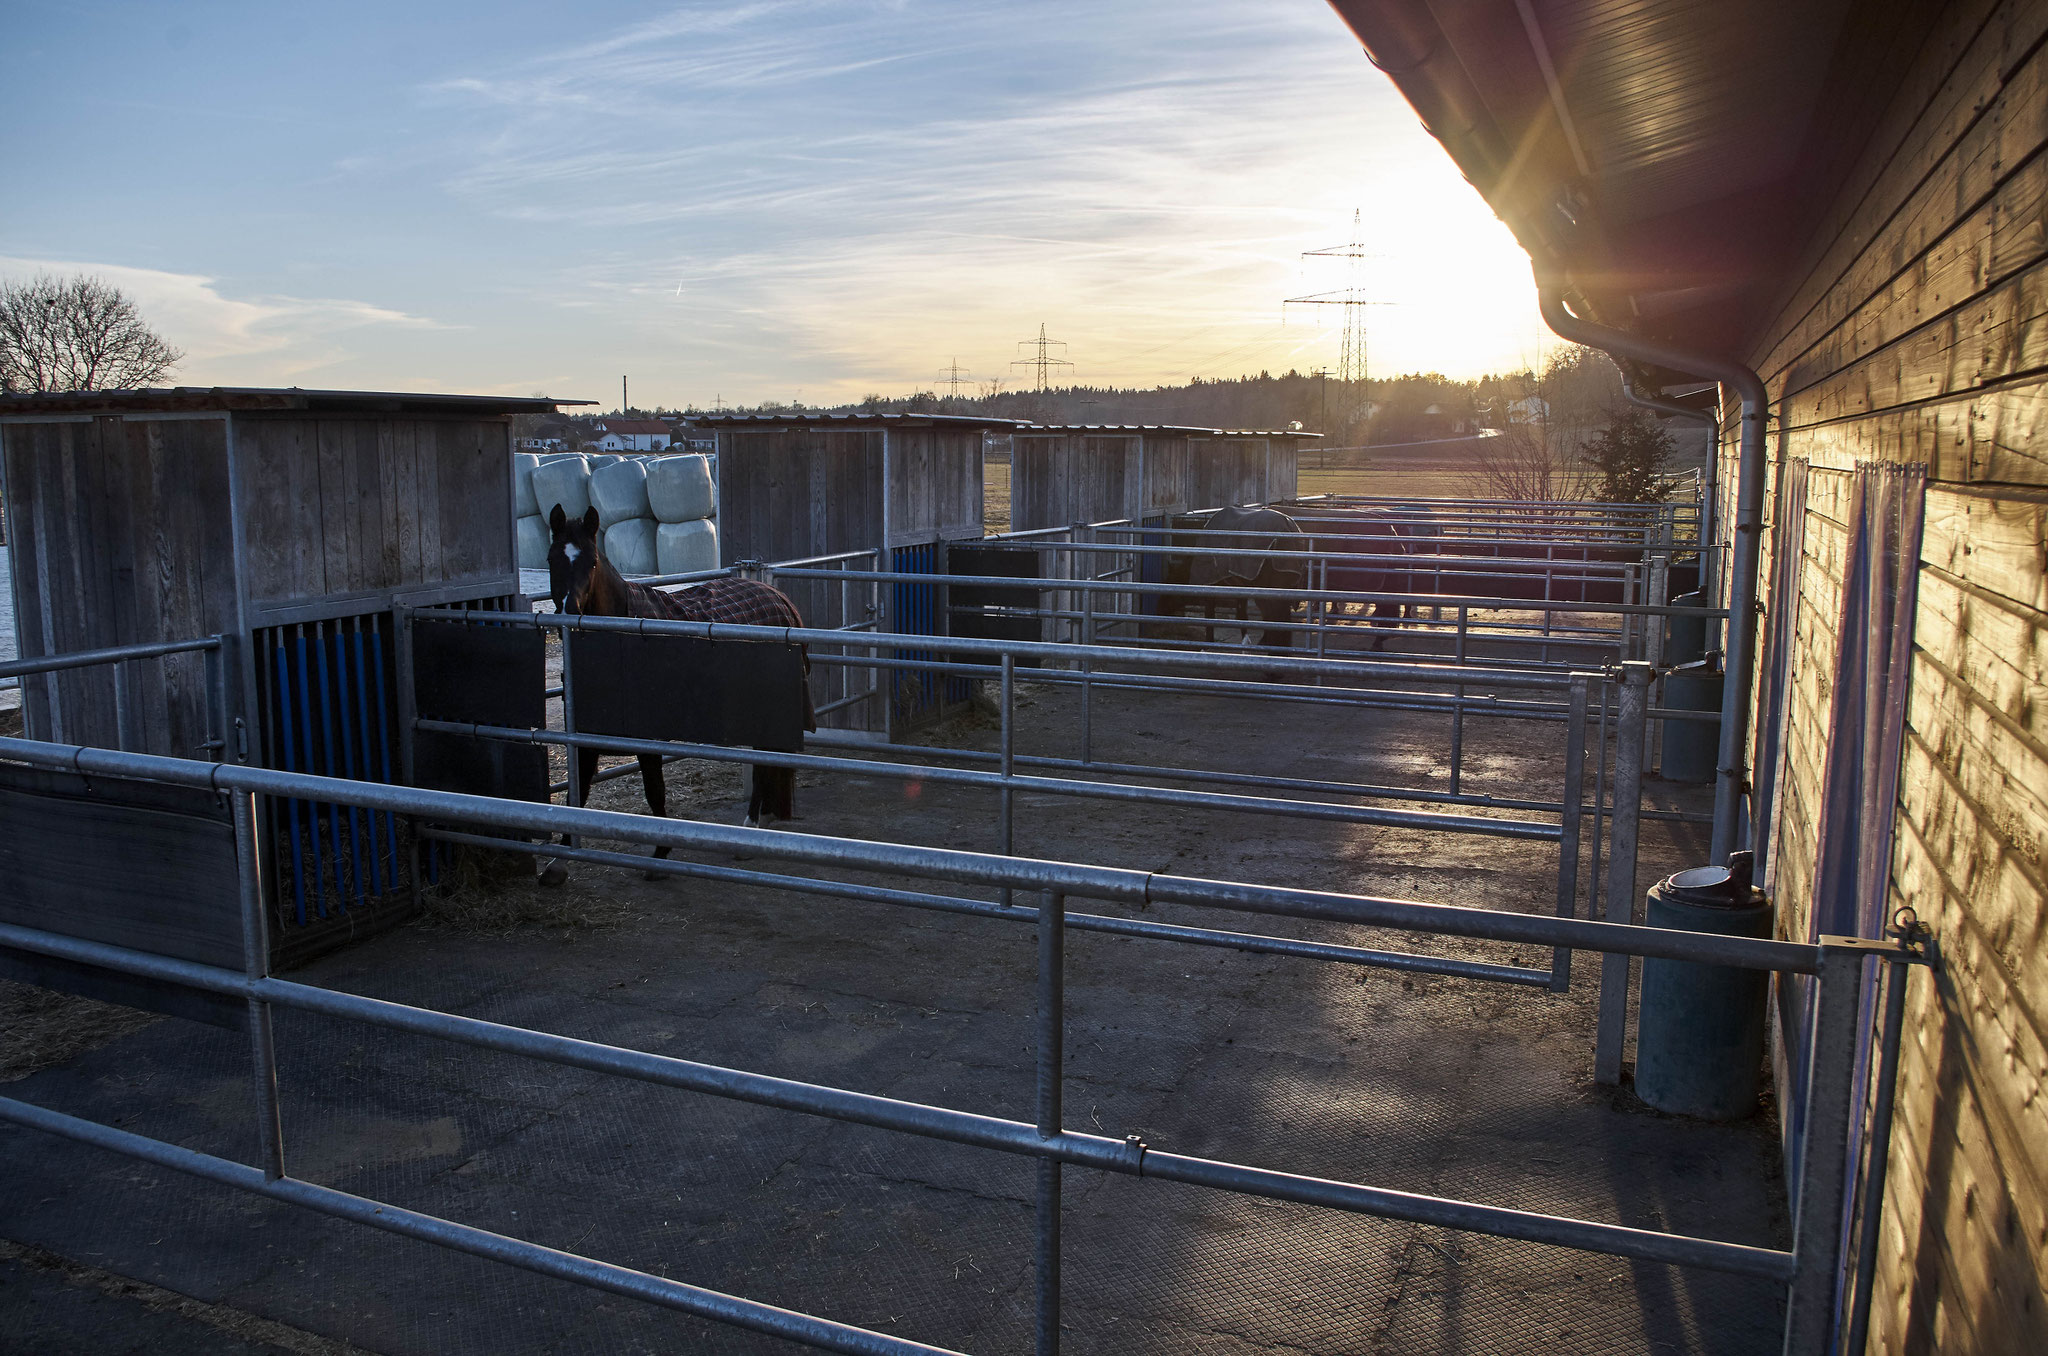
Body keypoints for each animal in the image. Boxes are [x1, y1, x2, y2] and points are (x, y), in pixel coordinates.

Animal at [544, 503, 815, 888]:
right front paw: (558, 862)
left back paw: (748, 831)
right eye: (552, 559)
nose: (568, 612)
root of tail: (778, 599)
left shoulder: (648, 736)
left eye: (592, 562)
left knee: (764, 763)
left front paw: (660, 855)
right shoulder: (585, 734)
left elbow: (654, 790)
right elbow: (576, 792)